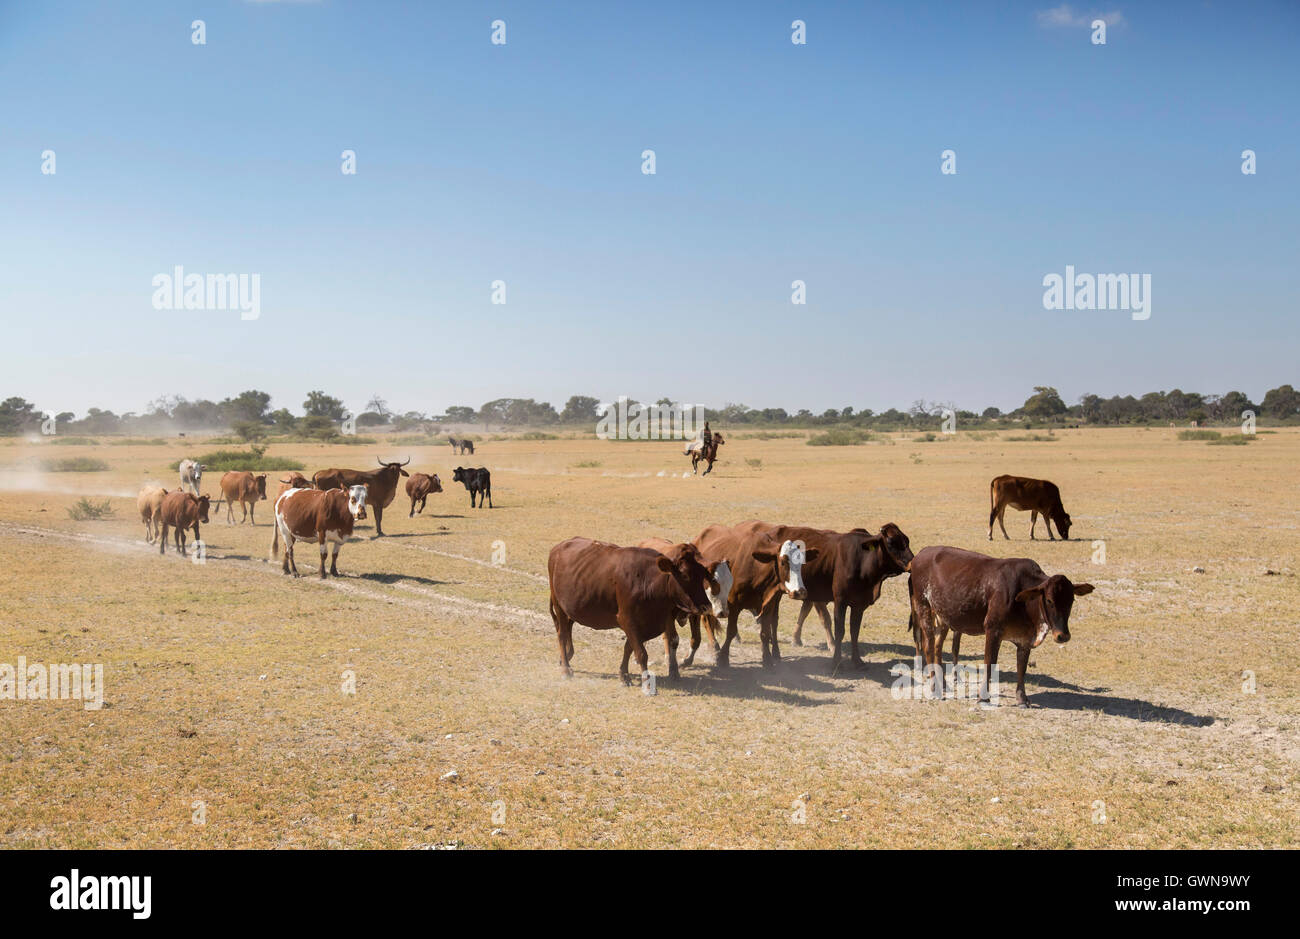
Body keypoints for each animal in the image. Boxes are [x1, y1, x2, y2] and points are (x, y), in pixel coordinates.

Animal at [543, 533, 717, 681]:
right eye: (685, 575)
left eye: (703, 575)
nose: (706, 606)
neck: (649, 581)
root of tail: (558, 548)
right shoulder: (627, 619)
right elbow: (641, 652)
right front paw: (645, 678)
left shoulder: (658, 621)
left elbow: (630, 647)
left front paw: (624, 674)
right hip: (559, 606)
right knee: (561, 633)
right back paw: (566, 668)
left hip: (572, 606)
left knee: (568, 627)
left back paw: (566, 657)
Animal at [637, 533, 733, 665]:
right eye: (714, 581)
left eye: (730, 584)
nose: (723, 612)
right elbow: (671, 637)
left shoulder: (697, 612)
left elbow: (696, 638)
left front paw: (687, 660)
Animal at [691, 520, 811, 665]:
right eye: (783, 562)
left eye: (801, 563)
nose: (800, 592)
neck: (756, 568)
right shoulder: (733, 604)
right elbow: (731, 630)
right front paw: (723, 658)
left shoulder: (769, 604)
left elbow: (766, 630)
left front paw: (767, 659)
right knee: (706, 619)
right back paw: (714, 647)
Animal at [774, 520, 920, 665]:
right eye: (891, 542)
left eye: (906, 540)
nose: (913, 563)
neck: (862, 561)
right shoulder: (837, 600)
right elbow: (835, 626)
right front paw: (835, 656)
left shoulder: (859, 603)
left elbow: (854, 630)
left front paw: (857, 661)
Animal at [904, 546, 1097, 707]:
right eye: (1049, 600)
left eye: (1071, 600)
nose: (1062, 636)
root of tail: (919, 555)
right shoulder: (992, 630)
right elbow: (990, 663)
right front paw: (984, 697)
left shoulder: (1025, 640)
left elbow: (1021, 668)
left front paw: (1022, 699)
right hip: (923, 607)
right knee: (928, 646)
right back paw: (935, 688)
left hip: (943, 616)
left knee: (937, 646)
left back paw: (943, 684)